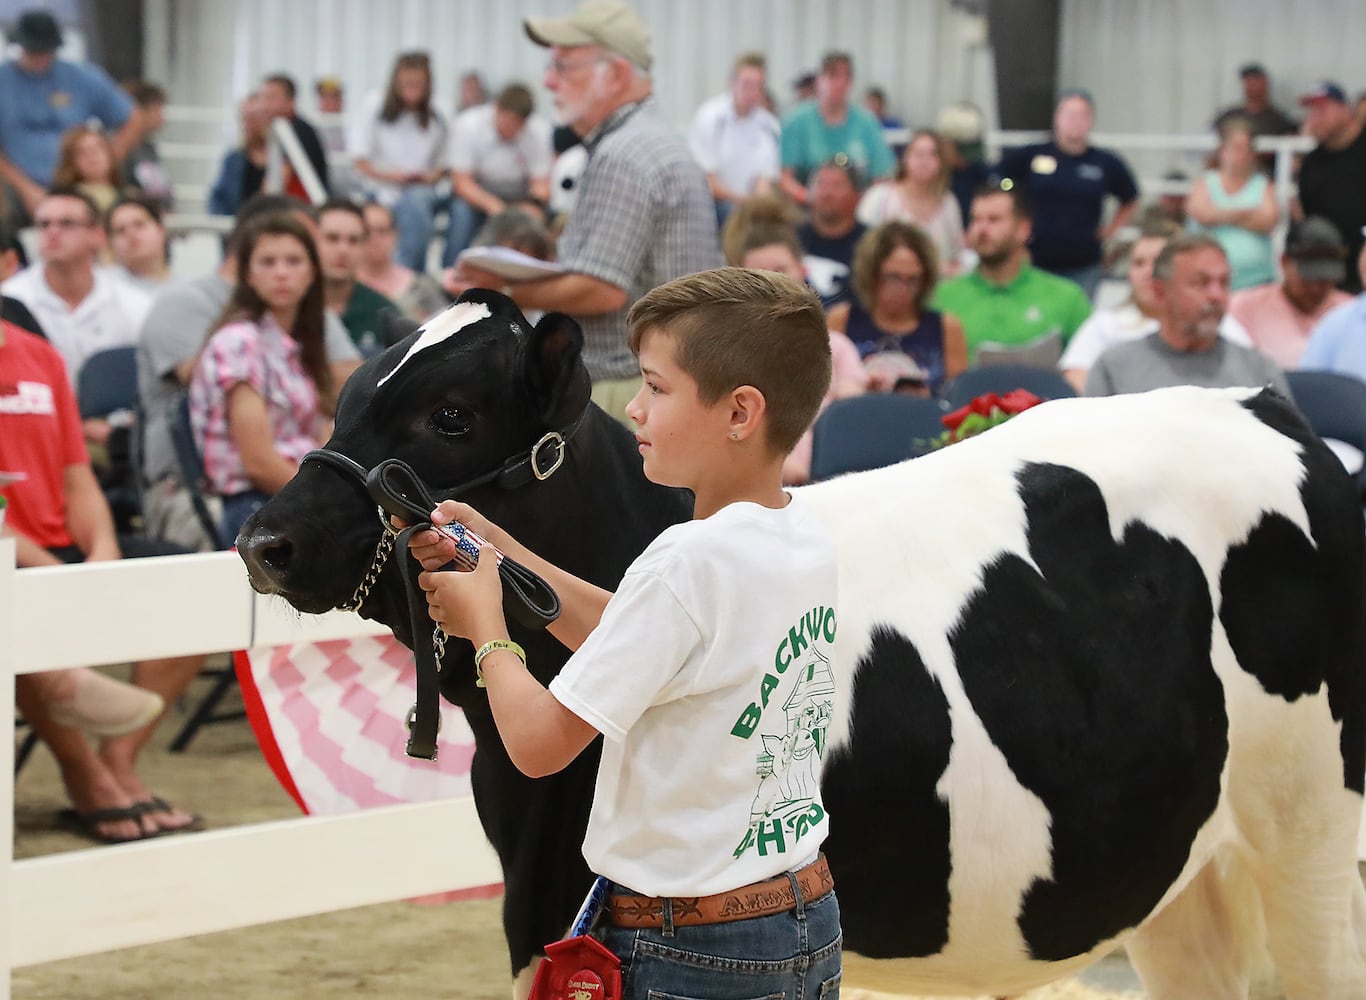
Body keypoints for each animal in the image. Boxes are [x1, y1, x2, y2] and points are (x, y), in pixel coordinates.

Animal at [237, 292, 1366, 994]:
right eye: (346, 394)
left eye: (452, 416)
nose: (264, 540)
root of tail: (1263, 405)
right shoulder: (534, 901)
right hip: (1181, 868)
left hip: (1314, 836)